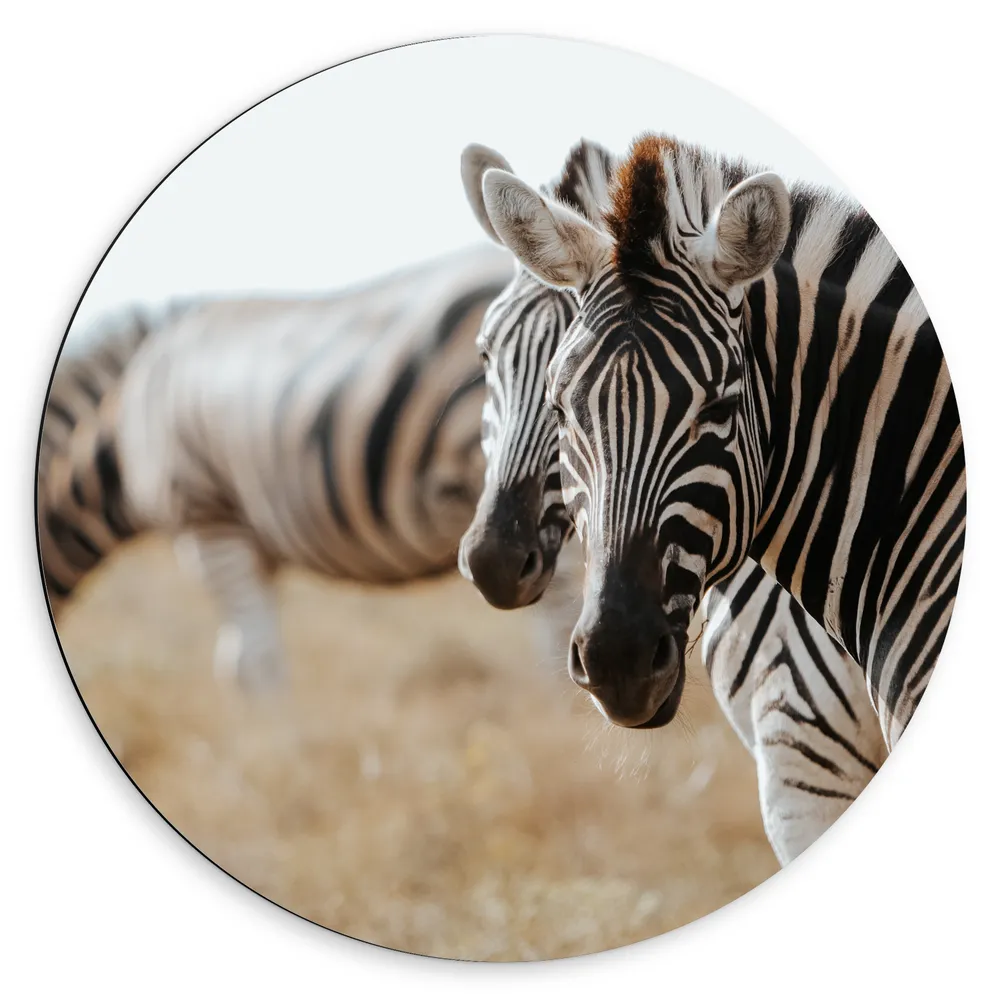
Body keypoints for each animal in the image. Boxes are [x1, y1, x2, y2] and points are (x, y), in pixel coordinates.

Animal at [39, 245, 582, 690]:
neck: (123, 422)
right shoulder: (254, 547)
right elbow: (244, 657)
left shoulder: (209, 522)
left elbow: (251, 664)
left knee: (558, 640)